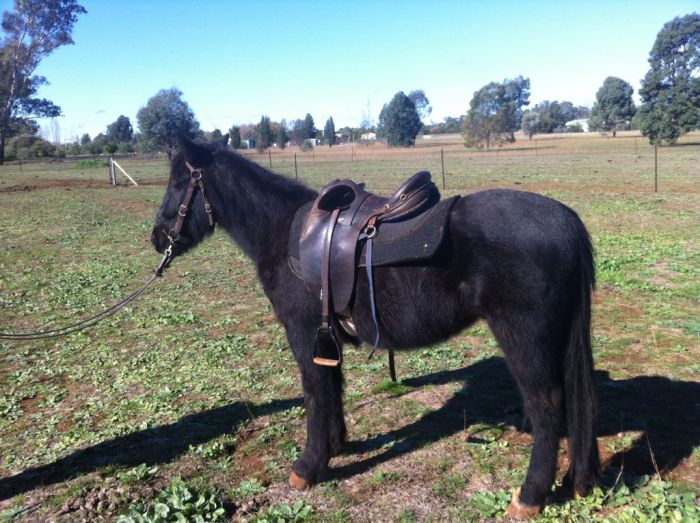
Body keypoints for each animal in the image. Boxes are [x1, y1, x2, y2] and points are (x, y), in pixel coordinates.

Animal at [151, 135, 600, 518]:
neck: (283, 234)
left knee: (547, 408)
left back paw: (529, 496)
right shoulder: (325, 337)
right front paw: (335, 446)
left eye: (179, 182)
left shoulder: (303, 332)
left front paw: (308, 467)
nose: (158, 237)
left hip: (524, 339)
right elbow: (332, 390)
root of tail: (566, 220)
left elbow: (314, 395)